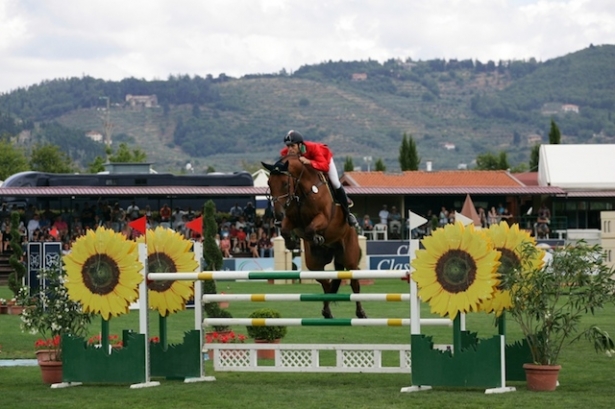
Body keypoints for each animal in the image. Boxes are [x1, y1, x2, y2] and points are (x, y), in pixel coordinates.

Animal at [260, 153, 366, 318]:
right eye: (269, 183)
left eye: (284, 183)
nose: (277, 214)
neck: (302, 190)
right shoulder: (291, 220)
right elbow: (285, 231)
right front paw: (291, 243)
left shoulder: (323, 217)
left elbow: (310, 229)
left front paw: (317, 237)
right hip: (315, 263)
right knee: (325, 282)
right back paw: (327, 310)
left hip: (349, 257)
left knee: (354, 282)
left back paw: (360, 312)